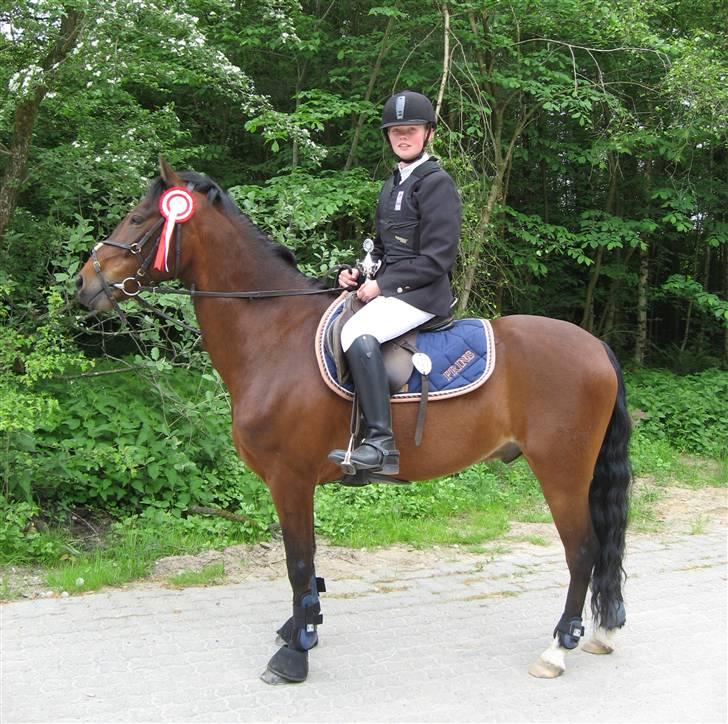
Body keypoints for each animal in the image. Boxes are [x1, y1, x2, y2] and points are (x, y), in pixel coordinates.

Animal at [76, 159, 632, 685]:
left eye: (138, 218)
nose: (83, 283)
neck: (273, 335)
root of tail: (597, 347)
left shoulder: (290, 478)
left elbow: (299, 562)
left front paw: (294, 653)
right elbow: (307, 565)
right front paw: (302, 627)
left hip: (562, 470)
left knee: (583, 551)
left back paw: (557, 650)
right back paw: (599, 634)